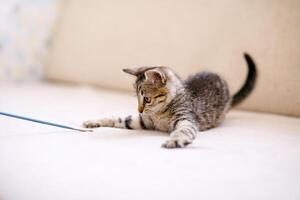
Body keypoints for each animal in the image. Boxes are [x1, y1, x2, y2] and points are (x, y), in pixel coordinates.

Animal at [83, 53, 256, 148]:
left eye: (147, 99)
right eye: (137, 98)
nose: (139, 110)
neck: (159, 113)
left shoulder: (186, 120)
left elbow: (183, 130)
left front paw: (175, 140)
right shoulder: (143, 121)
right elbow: (118, 118)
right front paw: (94, 121)